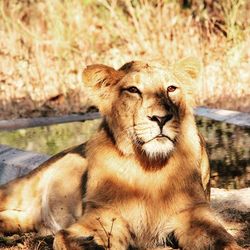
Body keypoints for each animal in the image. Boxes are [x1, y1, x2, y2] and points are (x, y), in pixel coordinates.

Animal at [0, 57, 242, 249]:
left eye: (171, 88)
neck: (148, 166)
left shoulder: (193, 212)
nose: (161, 118)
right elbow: (63, 236)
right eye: (133, 90)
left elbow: (225, 242)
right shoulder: (104, 213)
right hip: (21, 187)